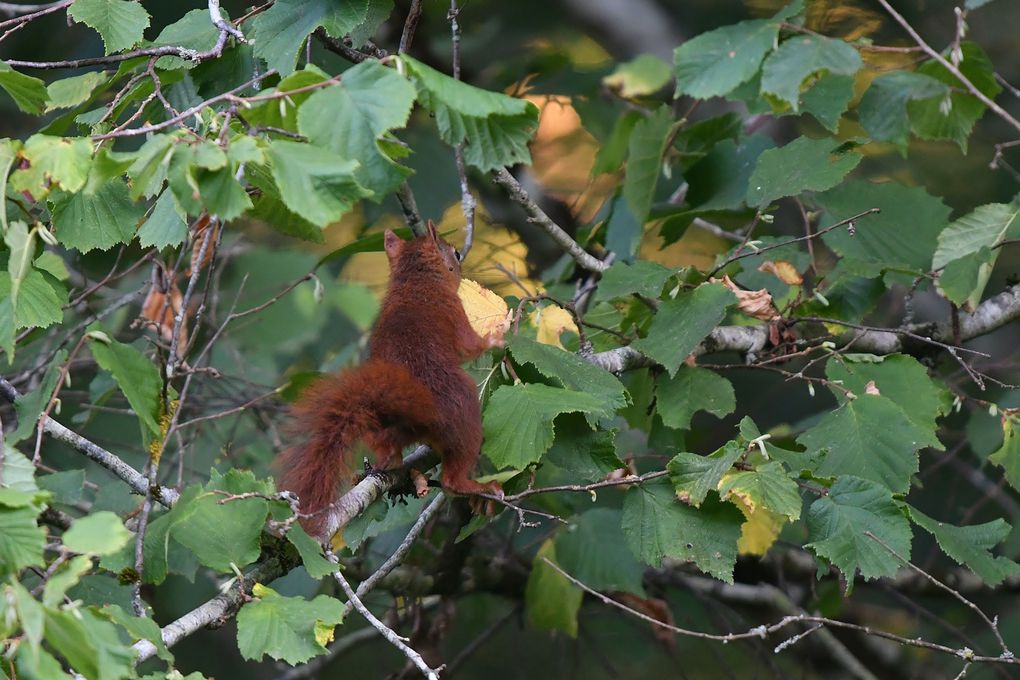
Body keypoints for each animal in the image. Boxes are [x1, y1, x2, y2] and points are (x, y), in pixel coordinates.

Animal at [279, 221, 501, 538]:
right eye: (455, 254)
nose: (462, 257)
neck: (413, 281)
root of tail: (414, 411)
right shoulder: (455, 312)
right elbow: (471, 346)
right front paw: (501, 332)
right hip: (465, 414)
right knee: (452, 479)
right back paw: (479, 487)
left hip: (377, 430)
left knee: (387, 451)